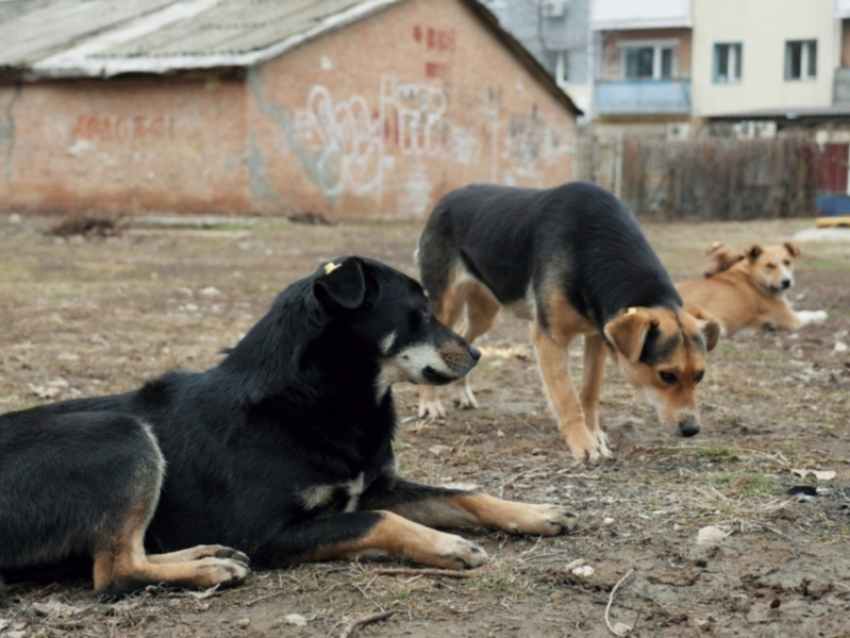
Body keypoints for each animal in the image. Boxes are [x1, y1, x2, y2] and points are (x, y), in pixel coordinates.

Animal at [1, 258, 576, 596]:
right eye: (419, 313)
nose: (478, 355)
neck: (317, 398)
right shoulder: (269, 532)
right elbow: (381, 520)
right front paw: (445, 544)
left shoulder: (375, 485)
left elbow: (463, 493)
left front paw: (533, 511)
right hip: (121, 435)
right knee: (114, 571)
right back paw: (207, 568)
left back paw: (206, 555)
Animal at [414, 184, 720, 464]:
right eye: (666, 375)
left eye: (700, 376)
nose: (692, 429)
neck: (593, 247)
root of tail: (448, 197)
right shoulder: (549, 338)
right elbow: (567, 397)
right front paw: (583, 444)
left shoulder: (598, 334)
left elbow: (590, 391)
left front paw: (594, 432)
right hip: (446, 304)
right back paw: (430, 403)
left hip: (484, 312)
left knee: (465, 338)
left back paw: (461, 392)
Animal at [672, 242, 824, 338]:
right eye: (769, 265)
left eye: (787, 262)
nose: (786, 282)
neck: (753, 277)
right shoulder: (792, 320)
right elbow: (810, 314)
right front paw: (821, 313)